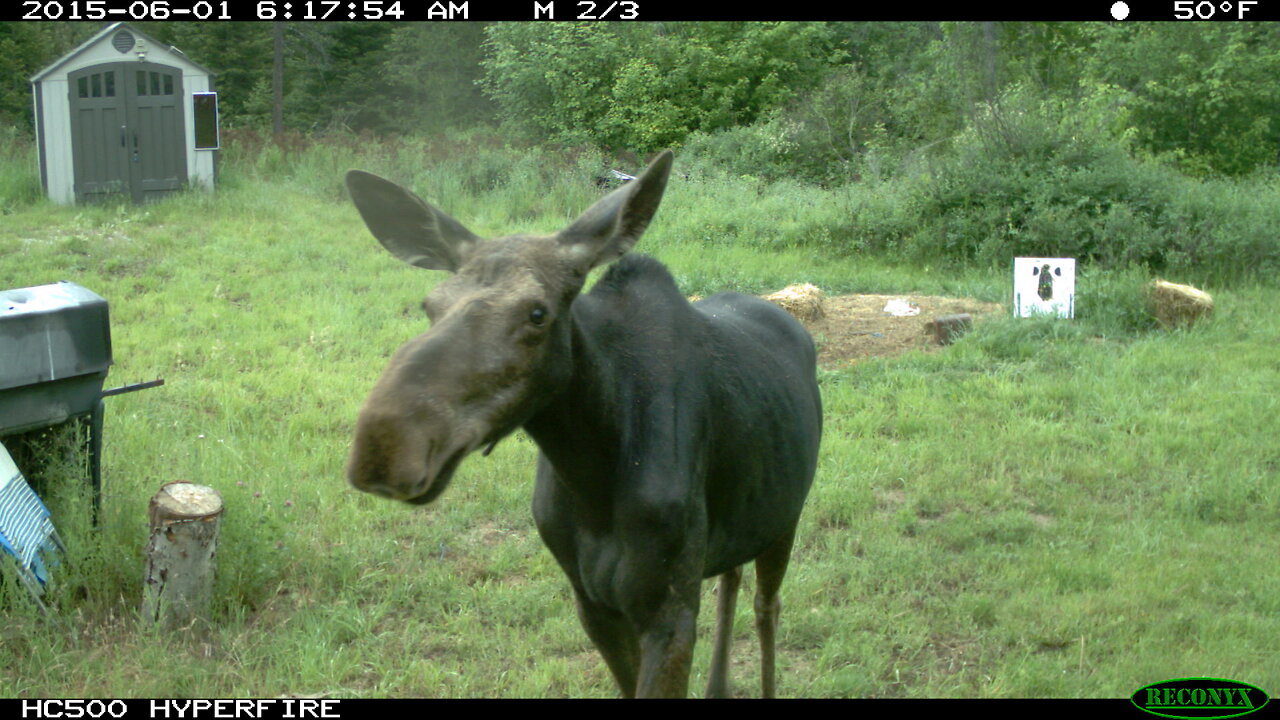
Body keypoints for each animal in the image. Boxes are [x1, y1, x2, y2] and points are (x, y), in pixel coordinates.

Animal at [343, 151, 819, 696]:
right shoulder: (593, 605)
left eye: (538, 313)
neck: (591, 469)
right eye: (430, 306)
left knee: (767, 606)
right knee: (731, 581)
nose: (385, 447)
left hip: (786, 517)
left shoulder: (669, 612)